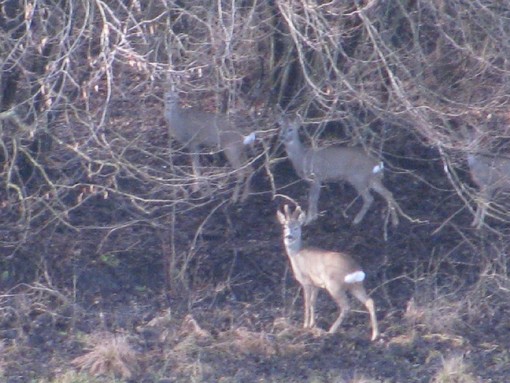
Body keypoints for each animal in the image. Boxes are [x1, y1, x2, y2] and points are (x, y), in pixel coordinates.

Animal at [276, 206, 380, 340]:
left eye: (296, 227)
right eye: (284, 227)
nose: (288, 236)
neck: (296, 255)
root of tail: (354, 268)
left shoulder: (306, 281)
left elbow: (307, 303)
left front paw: (305, 325)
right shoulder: (316, 285)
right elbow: (313, 303)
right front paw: (312, 324)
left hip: (334, 285)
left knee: (346, 306)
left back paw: (331, 330)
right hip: (356, 285)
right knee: (370, 301)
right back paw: (375, 335)